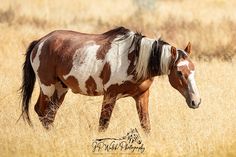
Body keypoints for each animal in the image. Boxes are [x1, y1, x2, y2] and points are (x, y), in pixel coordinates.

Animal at [19, 26, 201, 132]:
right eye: (179, 72)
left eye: (193, 69)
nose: (196, 101)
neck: (135, 59)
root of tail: (40, 42)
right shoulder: (110, 96)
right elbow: (103, 125)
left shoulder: (142, 96)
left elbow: (146, 126)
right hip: (48, 87)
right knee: (42, 112)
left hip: (60, 88)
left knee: (49, 114)